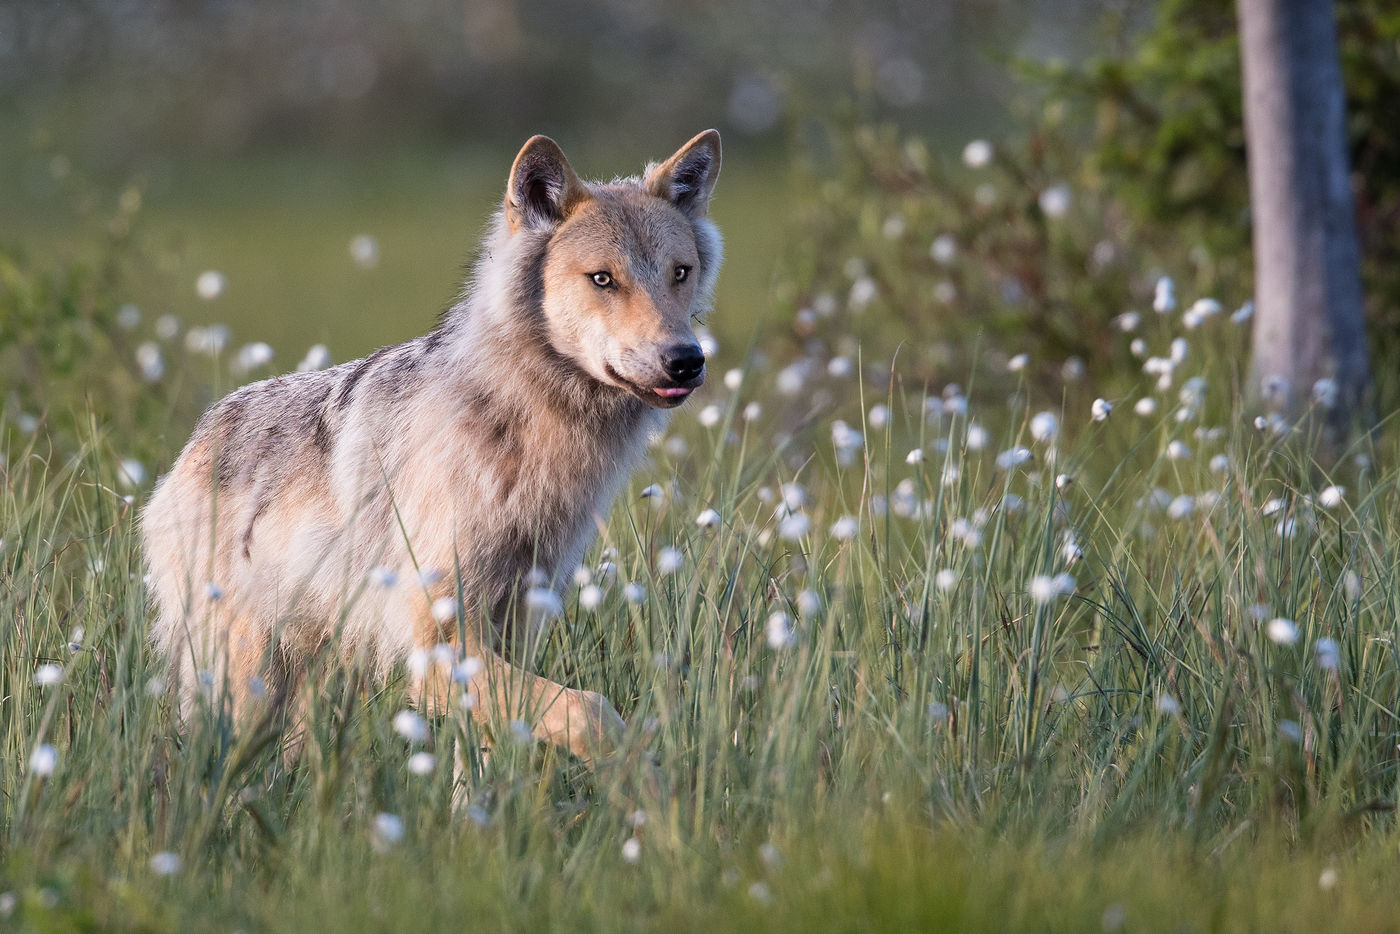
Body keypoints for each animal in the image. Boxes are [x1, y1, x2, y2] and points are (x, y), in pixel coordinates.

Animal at [142, 131, 722, 767]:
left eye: (680, 273)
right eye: (603, 280)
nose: (686, 360)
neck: (521, 433)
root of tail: (194, 442)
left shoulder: (510, 634)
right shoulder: (436, 645)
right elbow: (593, 711)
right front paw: (637, 772)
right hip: (245, 695)